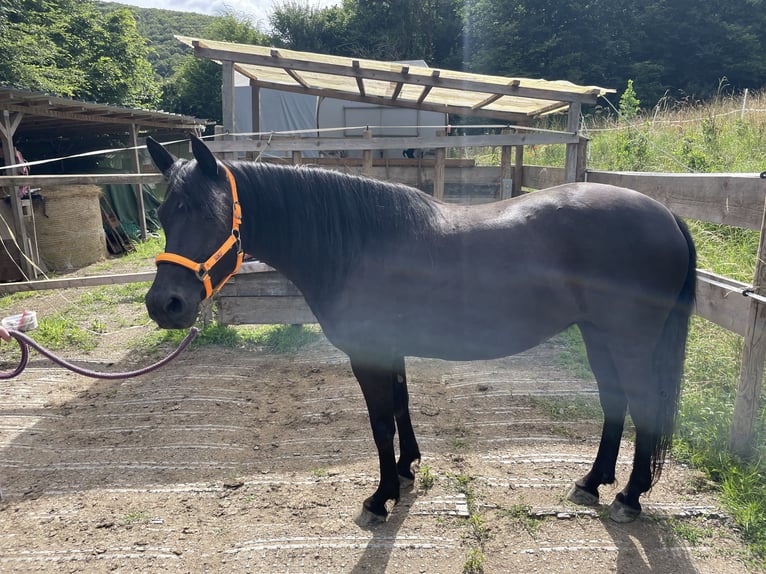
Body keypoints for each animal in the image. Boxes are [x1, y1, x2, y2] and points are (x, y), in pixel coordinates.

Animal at [142, 135, 696, 528]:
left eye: (208, 213)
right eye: (164, 213)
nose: (165, 304)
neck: (356, 244)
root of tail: (667, 214)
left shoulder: (369, 354)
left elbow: (380, 423)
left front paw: (380, 498)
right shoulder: (390, 350)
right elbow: (402, 408)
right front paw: (407, 471)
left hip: (628, 340)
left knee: (641, 405)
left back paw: (629, 497)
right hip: (598, 334)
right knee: (613, 401)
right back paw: (593, 482)